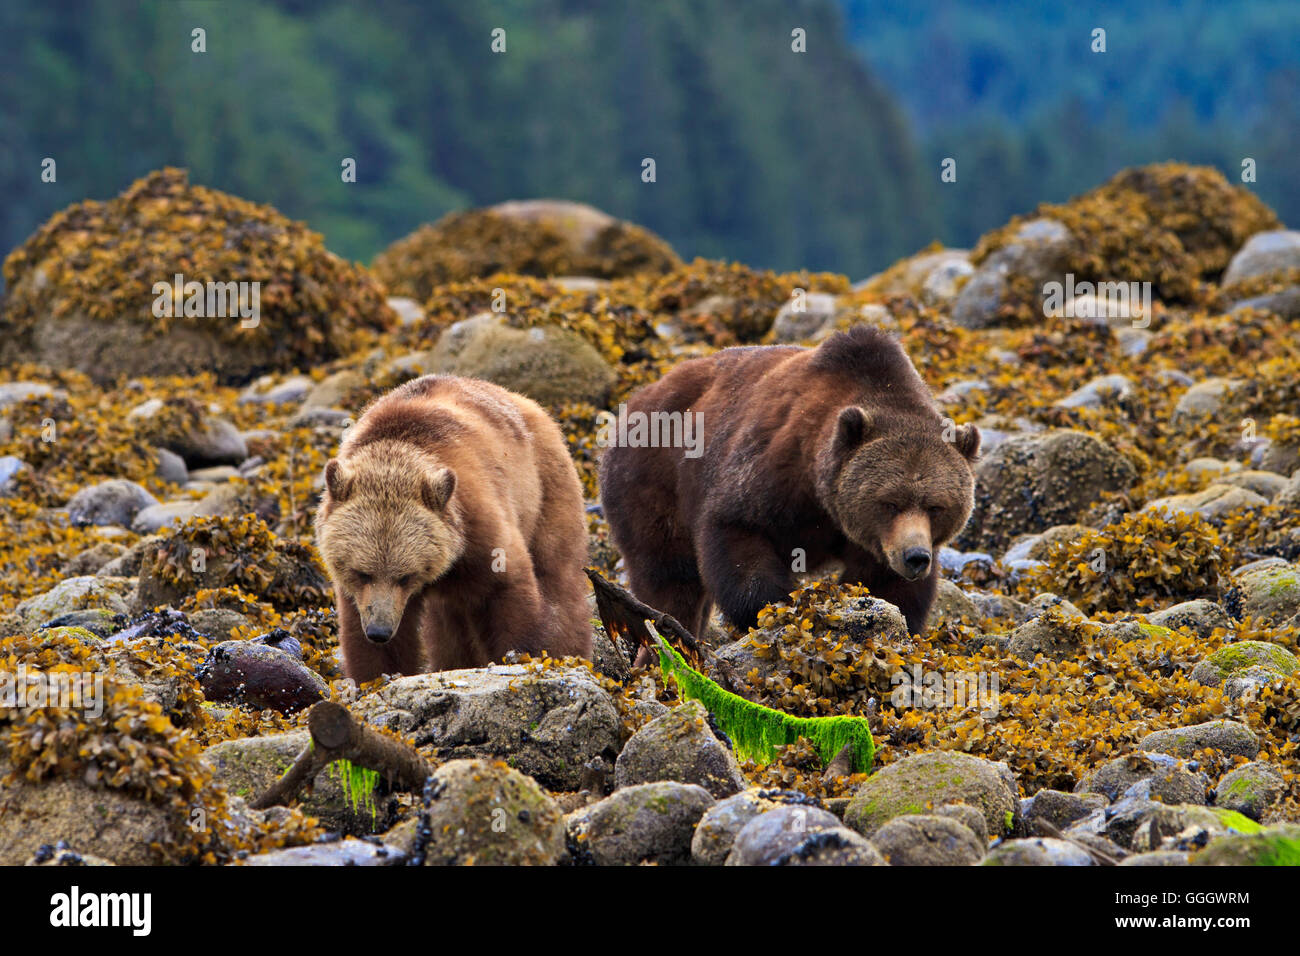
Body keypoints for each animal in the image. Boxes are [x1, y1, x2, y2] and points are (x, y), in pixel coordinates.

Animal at [317, 374, 592, 681]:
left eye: (405, 576)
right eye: (362, 573)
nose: (380, 630)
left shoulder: (478, 524)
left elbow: (507, 589)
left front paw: (520, 654)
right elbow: (363, 636)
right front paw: (378, 675)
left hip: (545, 486)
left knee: (557, 575)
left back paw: (571, 650)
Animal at [598, 325, 977, 639]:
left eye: (935, 506)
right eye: (889, 502)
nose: (915, 557)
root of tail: (637, 398)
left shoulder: (875, 541)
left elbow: (887, 587)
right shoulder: (774, 473)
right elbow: (736, 534)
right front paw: (773, 610)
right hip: (651, 479)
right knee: (670, 576)